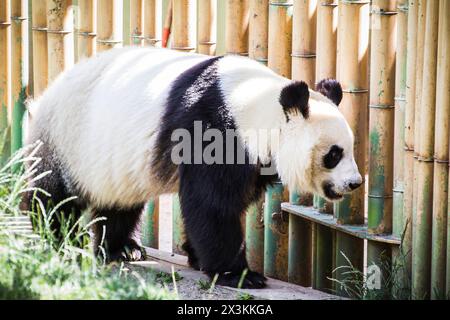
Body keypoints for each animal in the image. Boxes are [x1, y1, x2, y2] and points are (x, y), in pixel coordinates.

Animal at [22, 46, 364, 288]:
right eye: (333, 154)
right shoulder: (215, 128)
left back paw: (123, 249)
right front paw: (240, 274)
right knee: (52, 195)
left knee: (120, 202)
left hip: (114, 162)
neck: (260, 104)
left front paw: (198, 257)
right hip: (68, 138)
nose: (354, 183)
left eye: (351, 148)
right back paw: (52, 237)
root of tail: (46, 93)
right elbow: (213, 203)